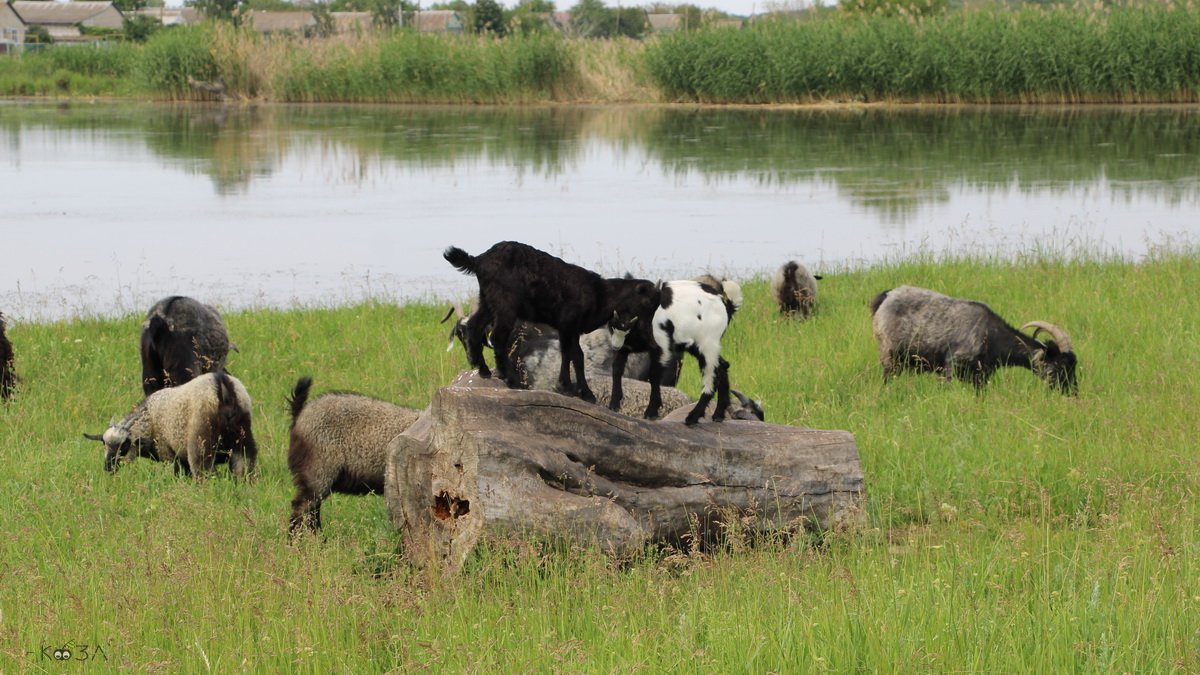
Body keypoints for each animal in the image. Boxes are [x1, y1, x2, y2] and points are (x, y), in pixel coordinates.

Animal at [446, 240, 662, 401]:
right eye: (648, 302)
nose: (649, 334)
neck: (601, 294)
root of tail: (478, 260)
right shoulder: (567, 323)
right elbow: (570, 354)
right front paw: (570, 388)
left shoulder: (572, 328)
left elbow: (575, 356)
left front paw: (580, 391)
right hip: (505, 302)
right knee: (498, 336)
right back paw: (510, 379)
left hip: (487, 300)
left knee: (474, 326)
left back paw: (483, 370)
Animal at [873, 284, 1080, 393]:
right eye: (1058, 366)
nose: (1072, 393)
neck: (990, 333)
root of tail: (886, 296)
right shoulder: (952, 366)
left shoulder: (980, 376)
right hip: (889, 356)